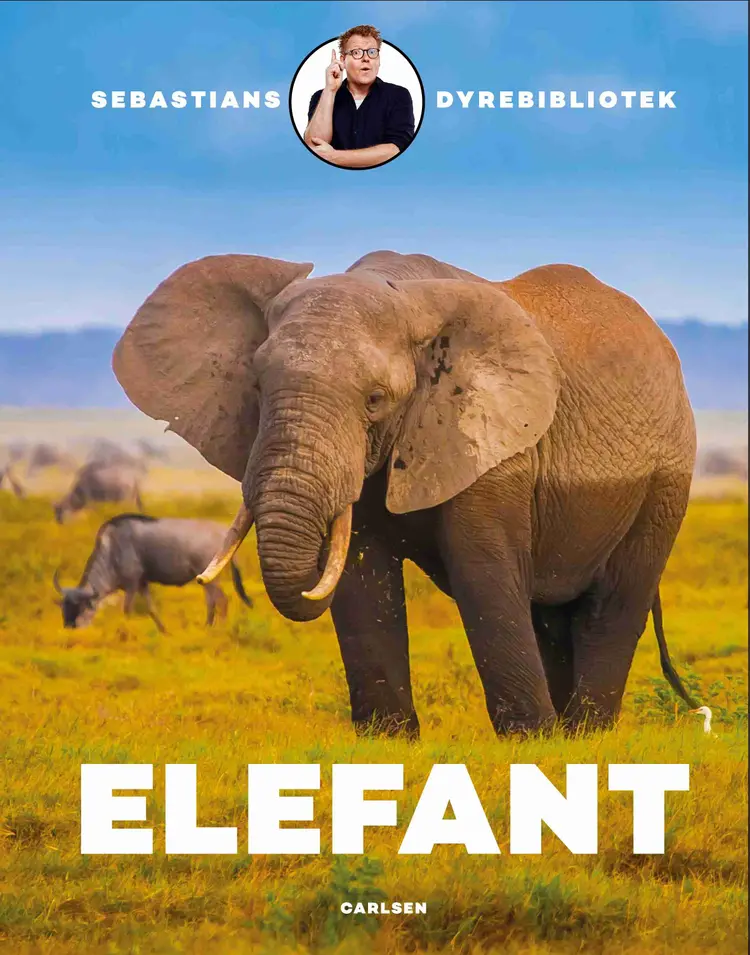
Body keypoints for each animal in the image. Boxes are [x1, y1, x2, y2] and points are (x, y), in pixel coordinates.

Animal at [112, 249, 699, 737]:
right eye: (256, 387)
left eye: (375, 399)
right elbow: (362, 573)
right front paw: (387, 740)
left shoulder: (492, 443)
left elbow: (482, 571)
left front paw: (530, 743)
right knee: (552, 615)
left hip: (666, 480)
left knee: (614, 601)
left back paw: (583, 735)